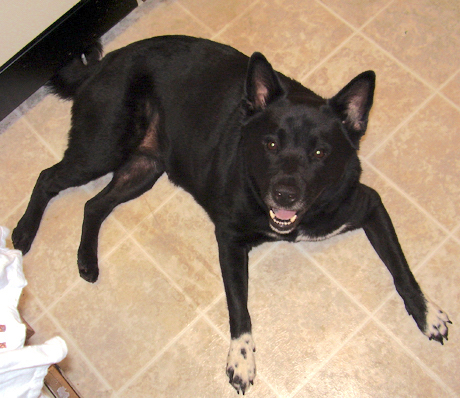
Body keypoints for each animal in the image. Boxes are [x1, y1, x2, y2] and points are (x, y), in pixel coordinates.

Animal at [12, 35, 452, 394]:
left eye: (320, 152)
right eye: (271, 143)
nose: (285, 194)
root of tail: (105, 62)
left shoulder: (368, 204)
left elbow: (401, 269)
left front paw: (427, 312)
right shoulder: (230, 240)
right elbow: (239, 308)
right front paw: (241, 358)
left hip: (144, 167)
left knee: (93, 204)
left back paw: (87, 260)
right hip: (102, 147)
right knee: (48, 178)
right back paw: (23, 234)